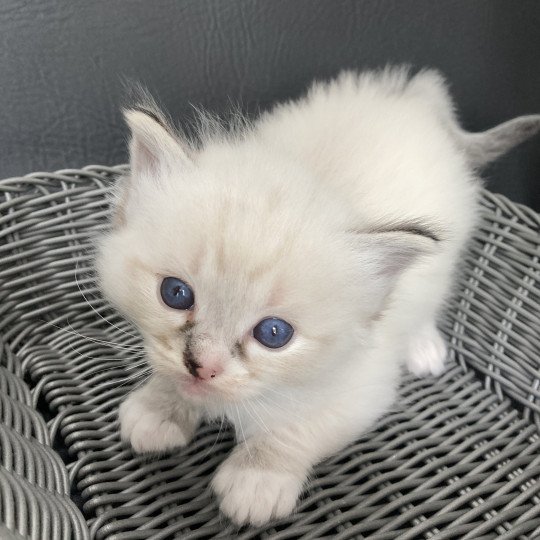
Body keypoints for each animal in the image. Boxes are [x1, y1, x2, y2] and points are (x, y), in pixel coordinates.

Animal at [97, 65, 540, 524]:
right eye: (176, 293)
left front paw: (257, 479)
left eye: (274, 334)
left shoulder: (363, 389)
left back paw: (424, 347)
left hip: (440, 263)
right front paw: (159, 407)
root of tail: (413, 95)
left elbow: (299, 428)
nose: (203, 367)